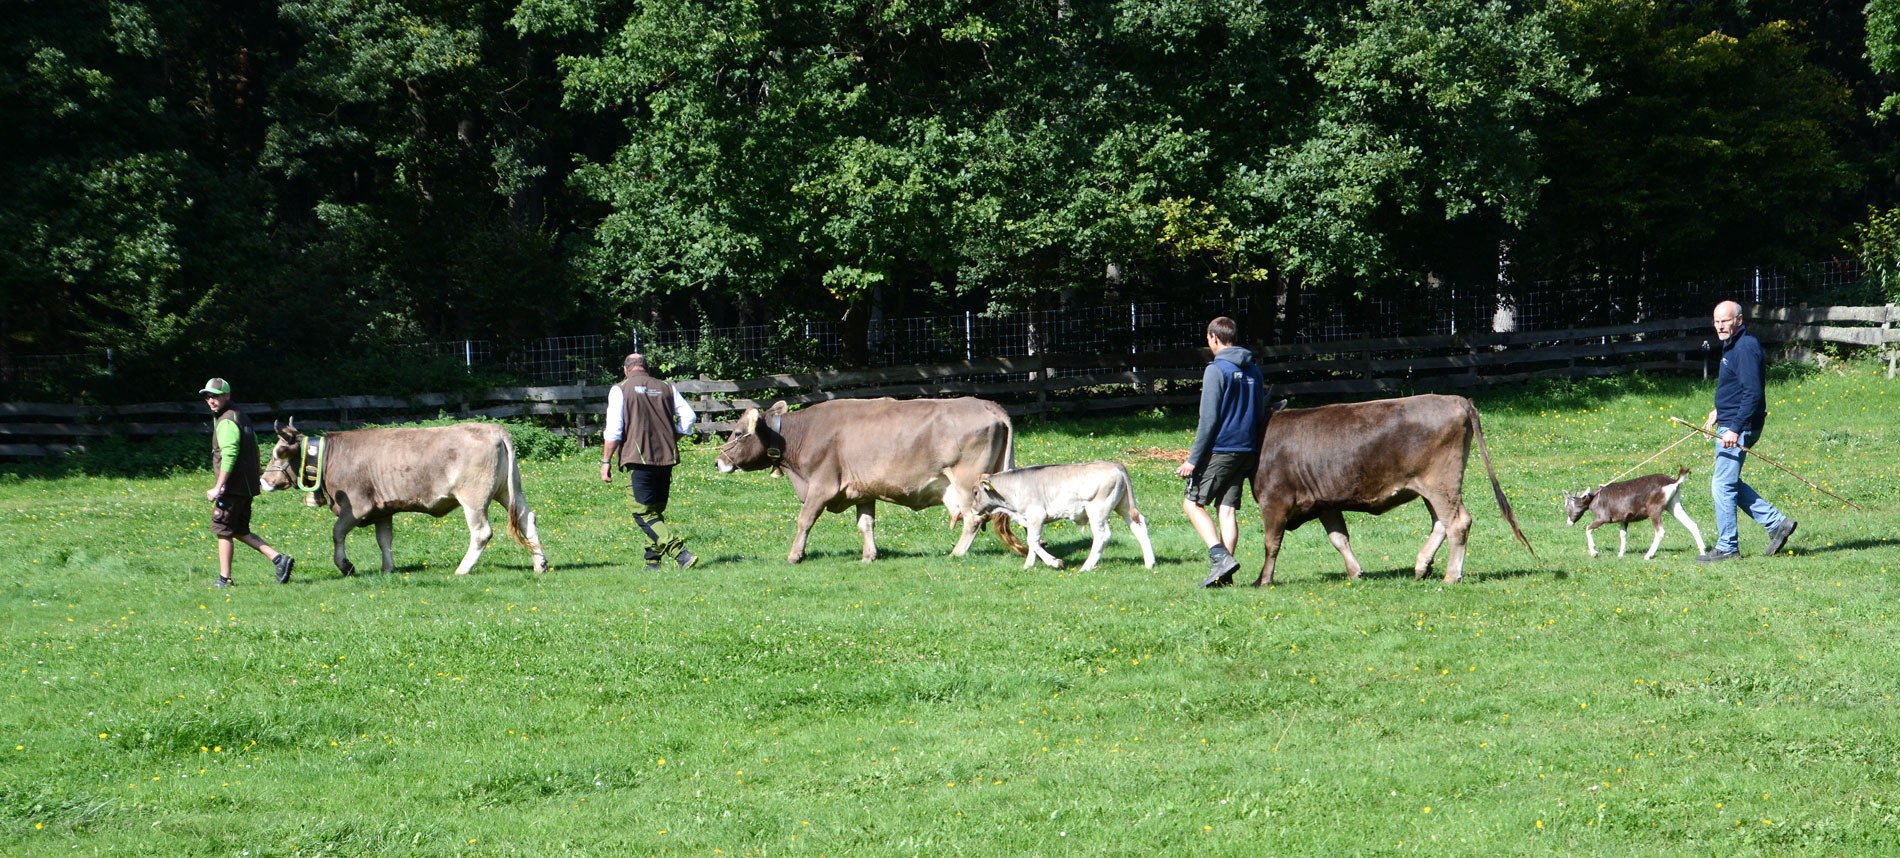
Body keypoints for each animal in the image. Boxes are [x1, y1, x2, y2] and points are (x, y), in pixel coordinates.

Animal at [260, 421, 547, 577]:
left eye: (278, 453)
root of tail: (494, 429)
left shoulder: (356, 506)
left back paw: (462, 569)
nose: (263, 481)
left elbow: (337, 533)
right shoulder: (382, 510)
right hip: (509, 490)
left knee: (482, 532)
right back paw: (540, 564)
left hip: (474, 497)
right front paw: (388, 568)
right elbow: (384, 540)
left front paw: (345, 566)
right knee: (527, 519)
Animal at [714, 400, 1041, 565]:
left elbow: (804, 520)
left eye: (737, 433)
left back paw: (956, 553)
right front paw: (869, 555)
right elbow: (866, 524)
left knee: (972, 519)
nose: (718, 461)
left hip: (966, 483)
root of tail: (986, 404)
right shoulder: (862, 490)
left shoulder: (822, 485)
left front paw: (795, 555)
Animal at [1216, 396, 1542, 588]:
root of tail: (1456, 399)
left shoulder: (1275, 499)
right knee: (1441, 522)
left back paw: (1451, 575)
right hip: (1434, 487)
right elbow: (1339, 538)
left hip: (1441, 482)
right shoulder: (1326, 503)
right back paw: (1422, 565)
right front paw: (1355, 572)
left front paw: (1263, 580)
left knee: (1457, 523)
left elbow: (1271, 543)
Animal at [1565, 465, 1717, 558]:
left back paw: (1648, 555)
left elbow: (1588, 528)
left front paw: (1594, 552)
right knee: (1692, 524)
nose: (1569, 522)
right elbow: (1623, 534)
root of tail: (1674, 481)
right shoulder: (1624, 519)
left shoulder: (1602, 518)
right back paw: (1702, 551)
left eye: (1569, 507)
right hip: (1674, 505)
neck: (1594, 498)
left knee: (1660, 531)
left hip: (1654, 509)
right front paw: (1620, 554)